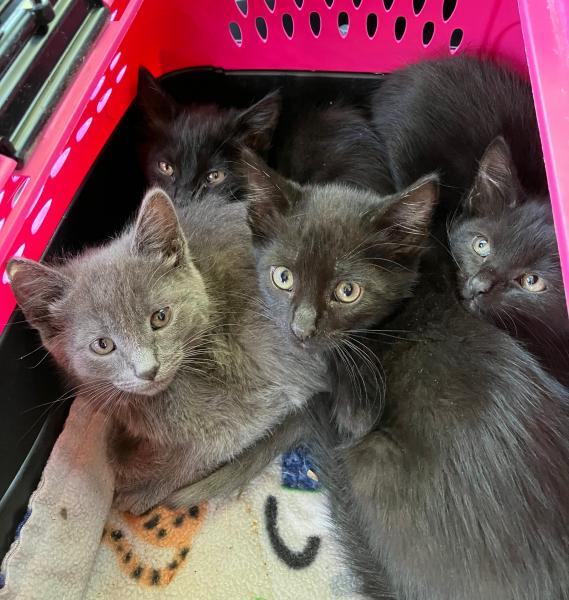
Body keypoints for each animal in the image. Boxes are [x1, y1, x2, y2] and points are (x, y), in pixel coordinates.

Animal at [7, 190, 328, 512]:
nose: (148, 370)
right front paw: (121, 444)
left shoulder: (262, 399)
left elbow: (207, 449)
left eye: (160, 317)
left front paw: (144, 488)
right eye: (102, 345)